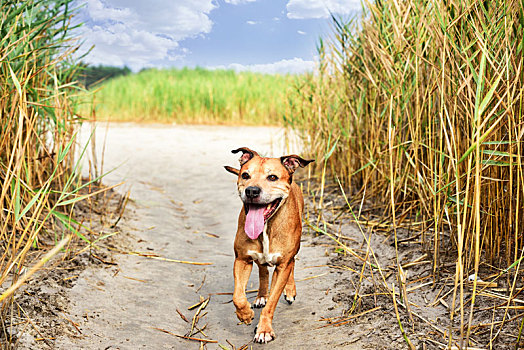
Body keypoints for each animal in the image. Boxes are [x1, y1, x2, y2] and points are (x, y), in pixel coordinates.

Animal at [223, 146, 314, 344]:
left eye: (272, 177)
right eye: (245, 175)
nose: (252, 191)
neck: (266, 227)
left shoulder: (283, 265)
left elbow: (272, 302)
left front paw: (264, 329)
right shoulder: (242, 260)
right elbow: (237, 296)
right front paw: (245, 314)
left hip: (293, 252)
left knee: (292, 265)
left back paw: (290, 290)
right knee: (263, 270)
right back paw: (261, 295)